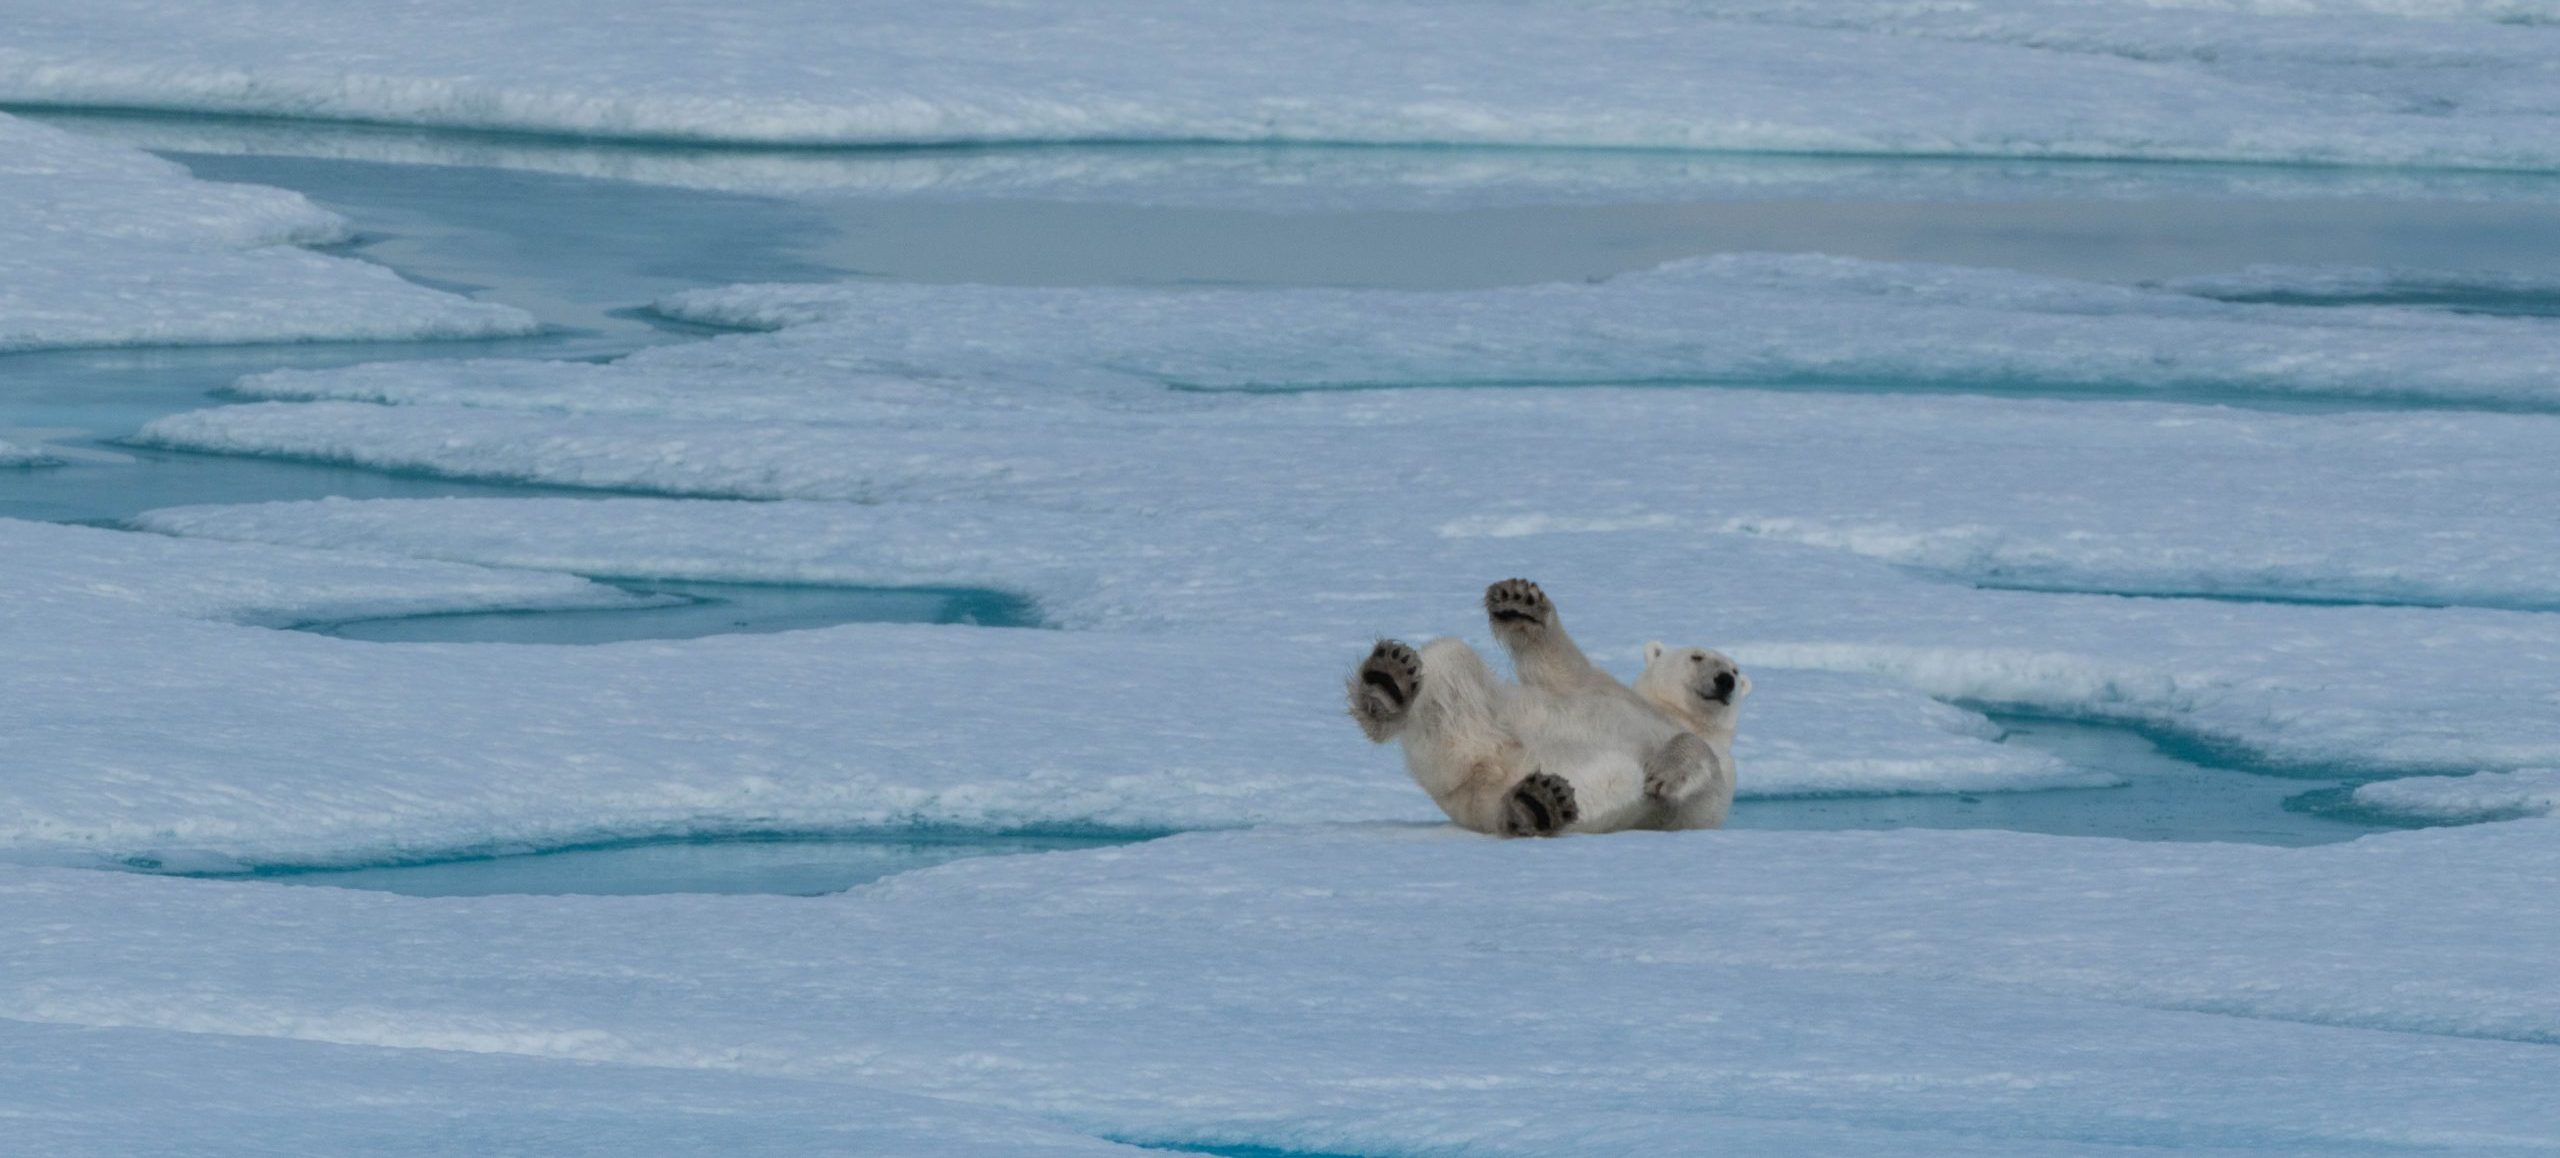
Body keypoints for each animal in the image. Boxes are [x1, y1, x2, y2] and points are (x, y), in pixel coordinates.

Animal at [1347, 578, 1750, 837]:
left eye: (1735, 669)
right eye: (1697, 656)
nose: (1725, 680)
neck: (1673, 713)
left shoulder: (1720, 776)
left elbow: (1702, 772)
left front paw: (1664, 774)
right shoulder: (1603, 690)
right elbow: (1561, 666)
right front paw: (1520, 602)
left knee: (1612, 778)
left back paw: (1535, 802)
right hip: (1484, 727)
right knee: (1449, 661)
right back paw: (1388, 683)